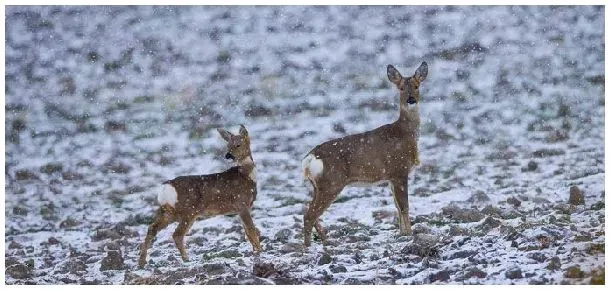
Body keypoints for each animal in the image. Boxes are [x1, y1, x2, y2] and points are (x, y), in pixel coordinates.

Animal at [300, 61, 428, 247]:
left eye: (417, 86)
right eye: (401, 87)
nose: (411, 100)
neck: (404, 133)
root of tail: (309, 159)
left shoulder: (391, 177)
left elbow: (397, 206)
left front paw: (402, 233)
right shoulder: (399, 170)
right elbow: (404, 206)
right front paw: (409, 234)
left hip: (318, 186)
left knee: (310, 212)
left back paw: (327, 240)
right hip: (332, 183)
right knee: (310, 215)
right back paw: (309, 246)